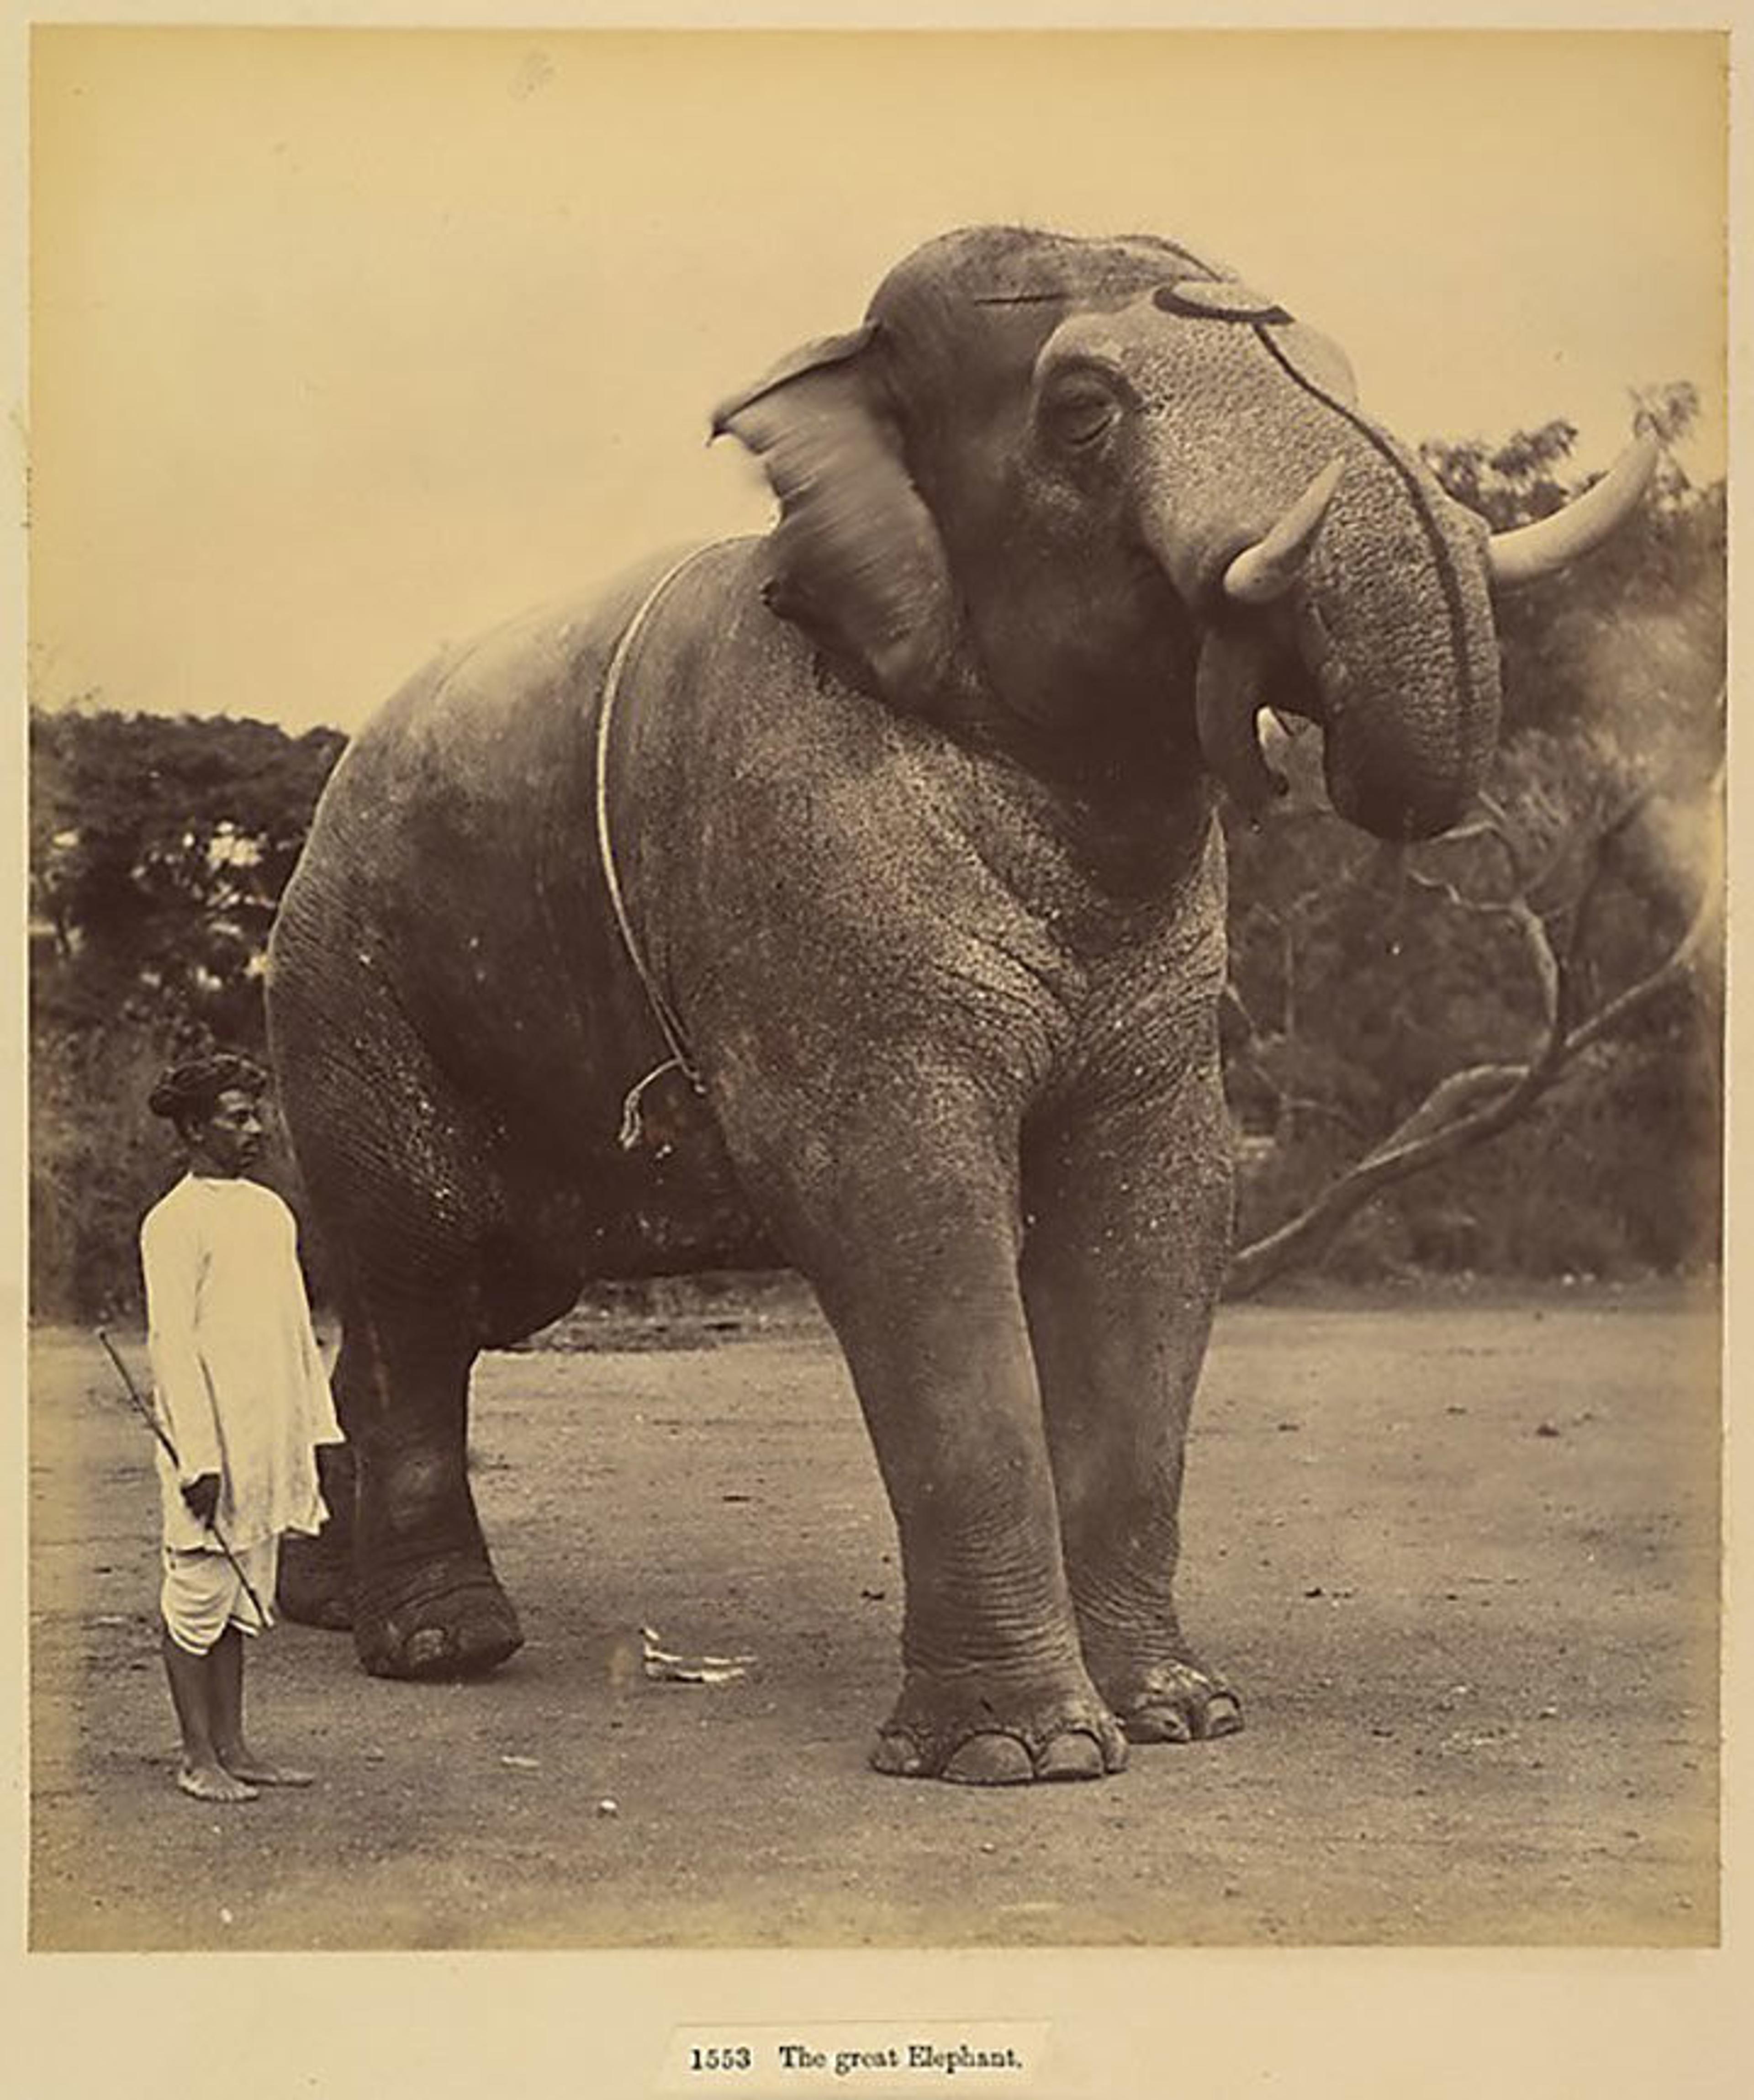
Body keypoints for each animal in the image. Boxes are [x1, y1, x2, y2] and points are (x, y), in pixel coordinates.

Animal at [268, 221, 1655, 1781]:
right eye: (1084, 412)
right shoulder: (802, 863)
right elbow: (897, 1203)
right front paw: (1023, 1757)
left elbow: (1162, 1207)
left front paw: (1180, 1716)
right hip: (349, 1000)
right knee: (415, 1279)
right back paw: (445, 1645)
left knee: (461, 1303)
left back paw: (334, 1596)